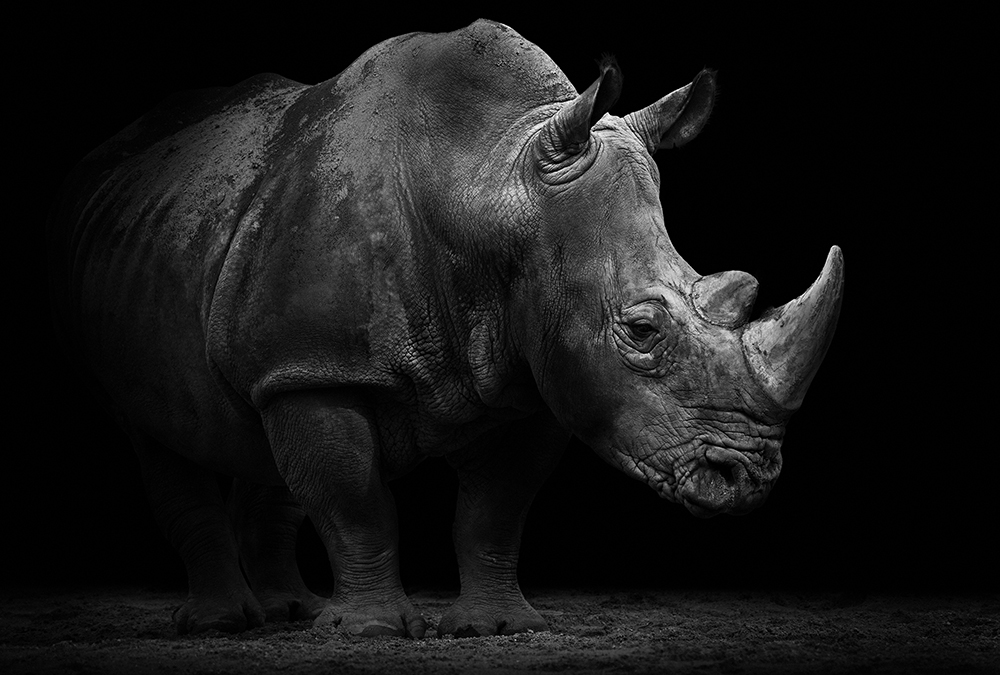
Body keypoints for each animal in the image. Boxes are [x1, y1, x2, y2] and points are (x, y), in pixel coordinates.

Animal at [47, 19, 843, 637]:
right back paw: (224, 624)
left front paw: (495, 626)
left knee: (260, 438)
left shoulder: (538, 374)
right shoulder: (319, 362)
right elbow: (352, 497)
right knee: (159, 435)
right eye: (643, 329)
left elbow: (493, 512)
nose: (748, 477)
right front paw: (369, 631)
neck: (488, 181)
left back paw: (290, 614)